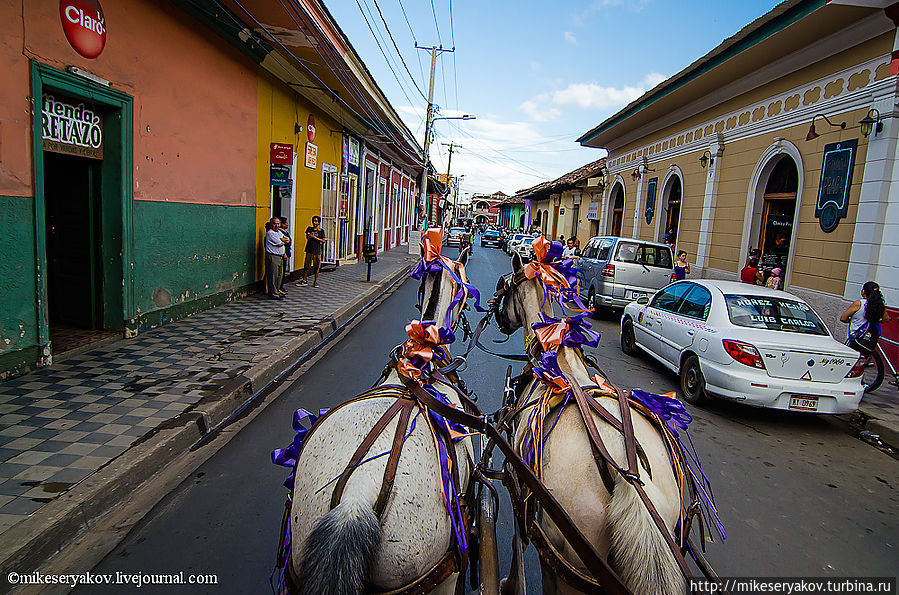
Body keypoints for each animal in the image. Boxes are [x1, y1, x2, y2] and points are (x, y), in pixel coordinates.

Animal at [496, 253, 684, 595]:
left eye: (506, 287)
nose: (501, 319)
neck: (557, 362)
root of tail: (630, 475)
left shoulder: (520, 482)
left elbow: (519, 540)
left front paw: (510, 582)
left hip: (569, 556)